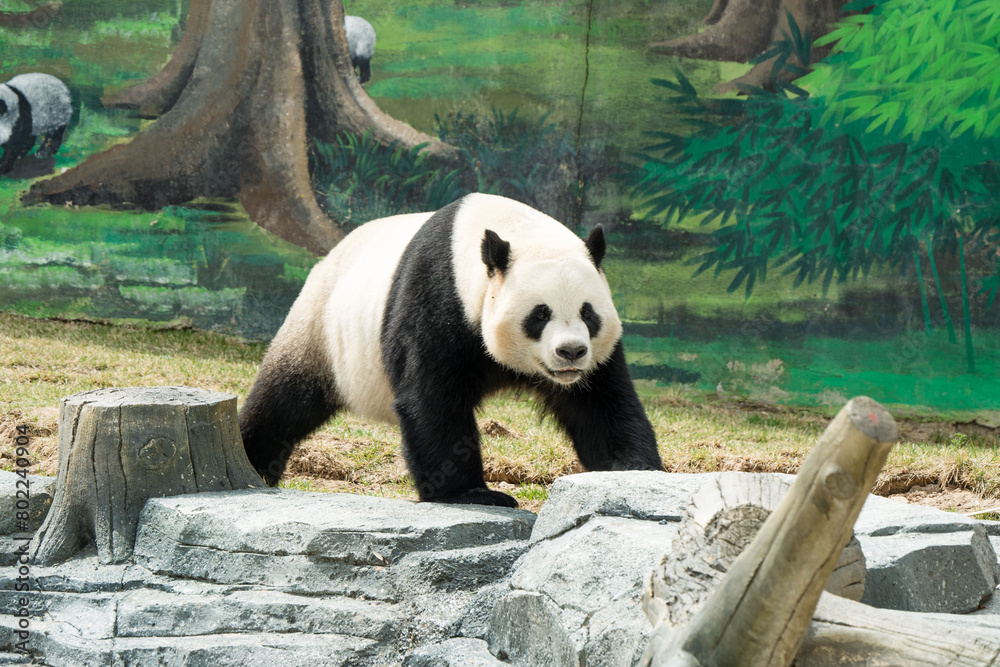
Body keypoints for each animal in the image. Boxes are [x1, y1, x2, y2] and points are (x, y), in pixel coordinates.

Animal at [239, 193, 663, 507]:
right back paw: (253, 462)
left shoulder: (597, 357)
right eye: (540, 314)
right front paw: (471, 494)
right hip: (319, 328)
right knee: (284, 400)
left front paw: (634, 472)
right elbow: (431, 397)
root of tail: (329, 256)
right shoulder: (437, 296)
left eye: (587, 313)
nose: (571, 352)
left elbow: (601, 406)